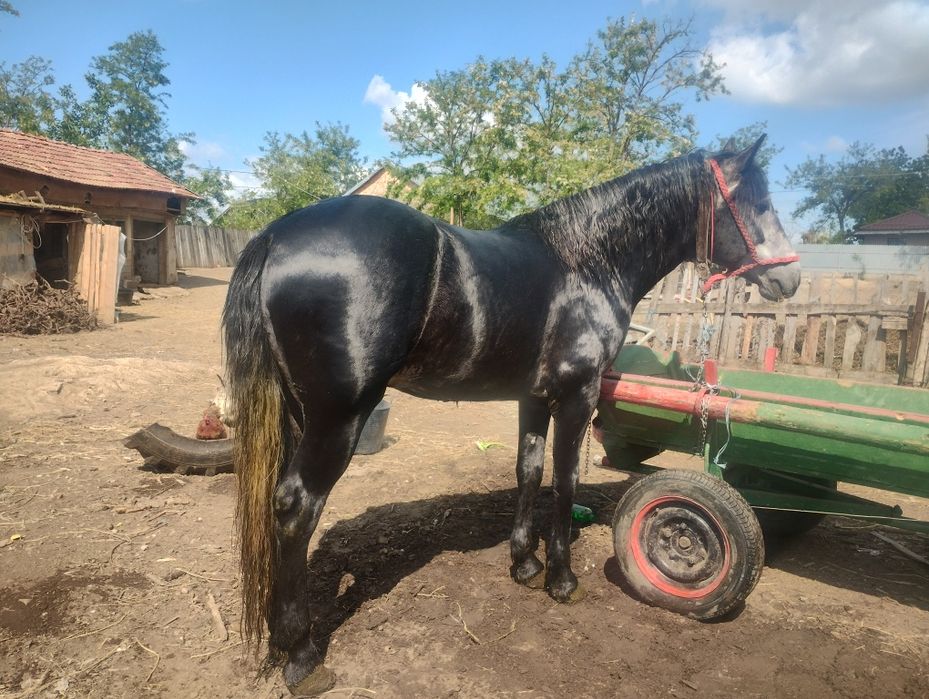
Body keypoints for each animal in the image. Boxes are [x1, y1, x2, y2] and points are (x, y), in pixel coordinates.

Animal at [222, 135, 800, 695]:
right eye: (761, 203)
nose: (790, 279)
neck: (588, 262)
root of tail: (276, 235)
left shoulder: (533, 398)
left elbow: (529, 471)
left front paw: (524, 563)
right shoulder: (577, 396)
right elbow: (564, 483)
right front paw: (562, 581)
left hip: (298, 413)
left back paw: (279, 640)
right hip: (339, 417)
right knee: (297, 507)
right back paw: (302, 656)